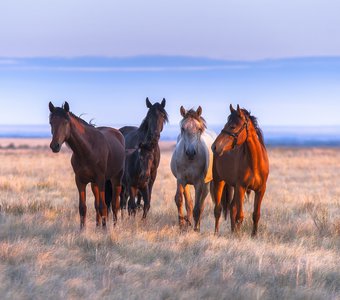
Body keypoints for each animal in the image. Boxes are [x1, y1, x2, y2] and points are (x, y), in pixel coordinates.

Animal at [211, 104, 270, 236]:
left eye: (232, 126)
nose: (215, 147)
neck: (255, 163)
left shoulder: (260, 190)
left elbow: (256, 215)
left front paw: (254, 235)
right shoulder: (241, 187)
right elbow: (240, 216)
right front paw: (239, 236)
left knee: (232, 207)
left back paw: (233, 232)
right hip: (219, 182)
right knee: (218, 210)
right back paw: (216, 233)